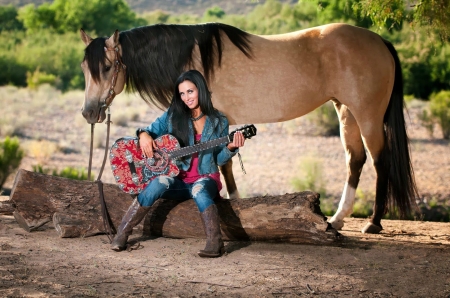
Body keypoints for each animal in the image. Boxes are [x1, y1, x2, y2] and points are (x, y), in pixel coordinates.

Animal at [80, 22, 418, 234]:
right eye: (85, 68)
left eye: (107, 67)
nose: (89, 112)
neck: (195, 58)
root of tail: (380, 41)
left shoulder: (221, 119)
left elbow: (225, 166)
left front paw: (233, 201)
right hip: (346, 111)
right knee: (355, 160)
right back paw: (336, 219)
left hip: (367, 115)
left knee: (379, 161)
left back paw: (373, 222)